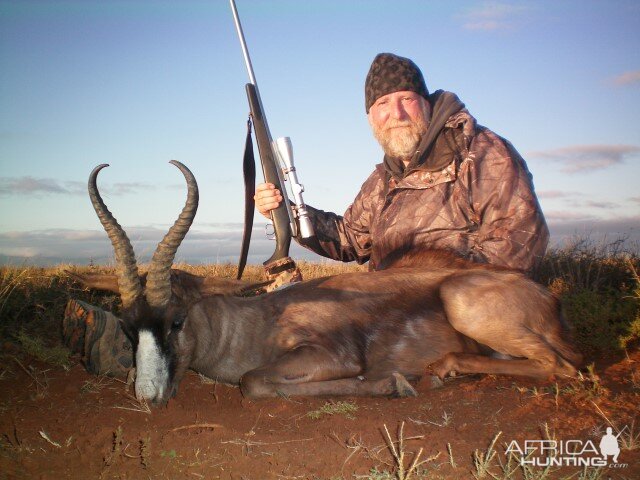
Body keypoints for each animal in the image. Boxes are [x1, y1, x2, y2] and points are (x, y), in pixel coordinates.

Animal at [74, 161, 580, 404]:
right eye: (128, 326)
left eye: (176, 320)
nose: (148, 397)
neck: (262, 320)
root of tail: (548, 299)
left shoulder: (333, 355)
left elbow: (253, 382)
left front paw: (394, 384)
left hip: (463, 303)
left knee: (564, 367)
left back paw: (439, 372)